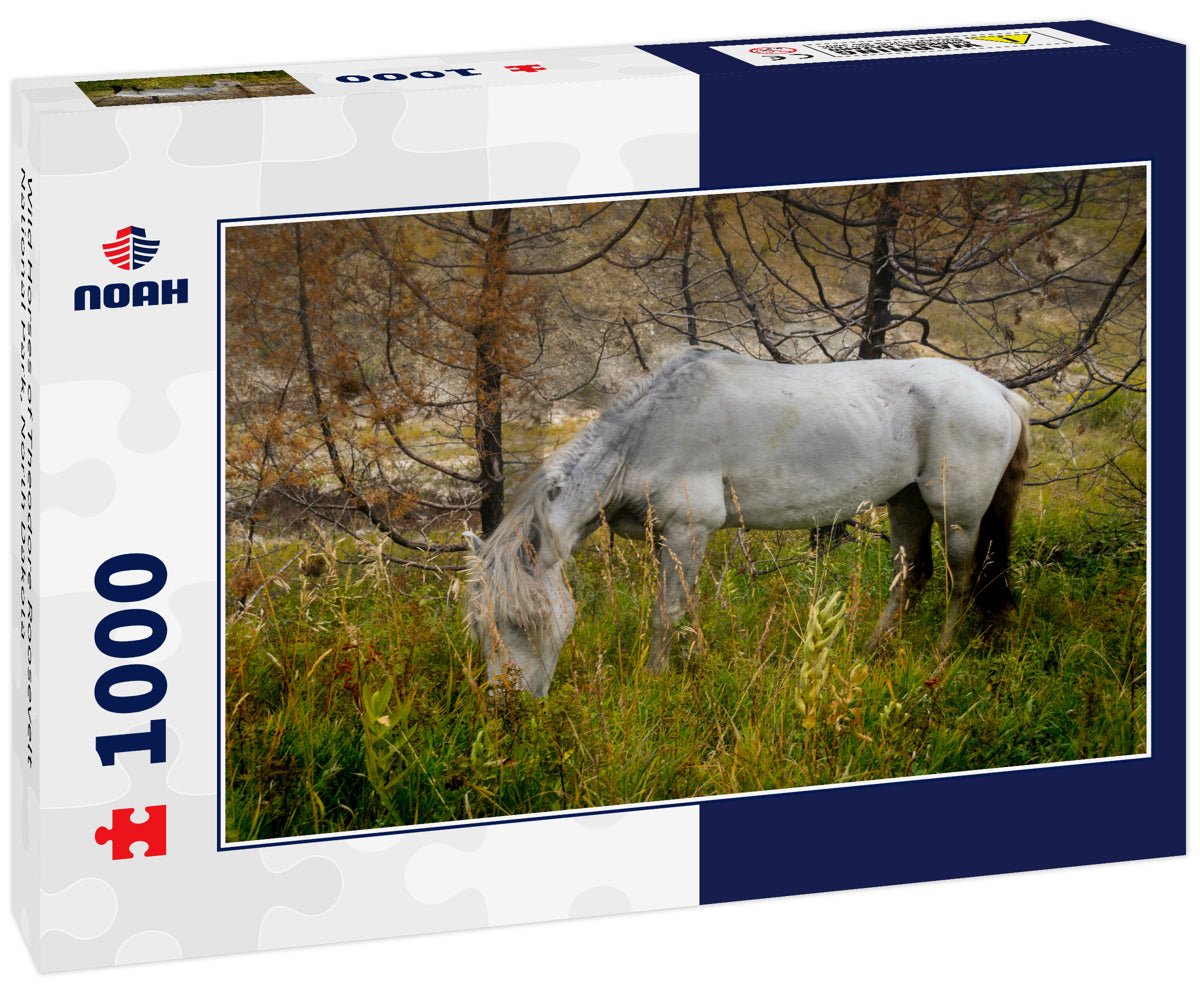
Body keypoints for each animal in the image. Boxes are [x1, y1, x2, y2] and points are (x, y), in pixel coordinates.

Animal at [463, 348, 1030, 697]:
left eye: (522, 621)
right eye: (479, 626)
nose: (505, 704)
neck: (647, 433)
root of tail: (999, 392)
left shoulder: (688, 529)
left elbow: (665, 612)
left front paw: (654, 679)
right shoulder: (668, 538)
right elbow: (686, 606)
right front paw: (694, 661)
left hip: (957, 514)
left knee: (961, 580)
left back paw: (940, 655)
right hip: (905, 503)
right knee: (910, 575)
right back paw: (873, 650)